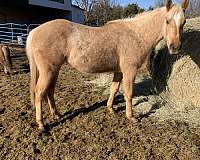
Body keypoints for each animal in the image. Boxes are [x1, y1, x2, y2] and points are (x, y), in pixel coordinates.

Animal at [26, 0, 189, 130]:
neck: (136, 35)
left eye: (184, 22)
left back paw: (57, 114)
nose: (175, 47)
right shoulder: (129, 71)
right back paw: (41, 124)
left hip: (54, 70)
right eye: (167, 21)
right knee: (39, 92)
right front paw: (131, 117)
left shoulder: (119, 71)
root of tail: (34, 32)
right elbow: (129, 93)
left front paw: (110, 109)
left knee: (50, 91)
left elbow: (114, 89)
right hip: (48, 70)